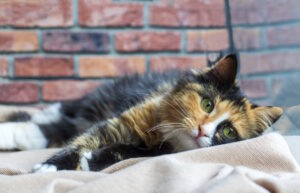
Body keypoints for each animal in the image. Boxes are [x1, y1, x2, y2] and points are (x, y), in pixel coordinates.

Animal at [0, 54, 282, 172]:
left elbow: (127, 152)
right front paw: (51, 167)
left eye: (228, 132)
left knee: (46, 127)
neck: (168, 136)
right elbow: (76, 145)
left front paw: (93, 160)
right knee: (50, 119)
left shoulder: (155, 152)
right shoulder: (118, 122)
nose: (203, 131)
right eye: (207, 104)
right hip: (89, 106)